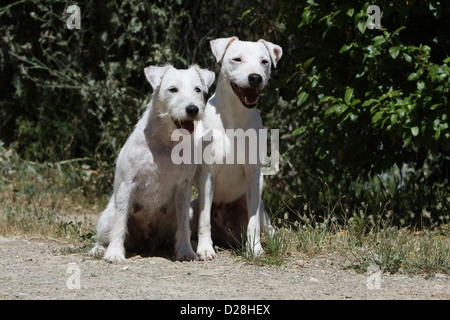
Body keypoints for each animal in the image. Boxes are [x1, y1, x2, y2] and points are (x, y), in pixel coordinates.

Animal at [89, 65, 214, 262]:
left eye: (198, 89)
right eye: (172, 89)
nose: (192, 109)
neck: (166, 141)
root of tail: (147, 242)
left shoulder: (183, 188)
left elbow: (183, 226)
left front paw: (186, 251)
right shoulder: (127, 184)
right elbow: (120, 222)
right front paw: (115, 253)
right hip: (107, 217)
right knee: (107, 233)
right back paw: (100, 249)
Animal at [192, 36, 282, 260]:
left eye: (264, 61)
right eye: (237, 59)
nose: (255, 78)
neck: (235, 117)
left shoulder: (253, 176)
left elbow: (253, 223)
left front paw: (255, 249)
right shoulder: (208, 175)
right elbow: (204, 219)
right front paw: (205, 249)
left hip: (258, 207)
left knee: (266, 225)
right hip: (192, 207)